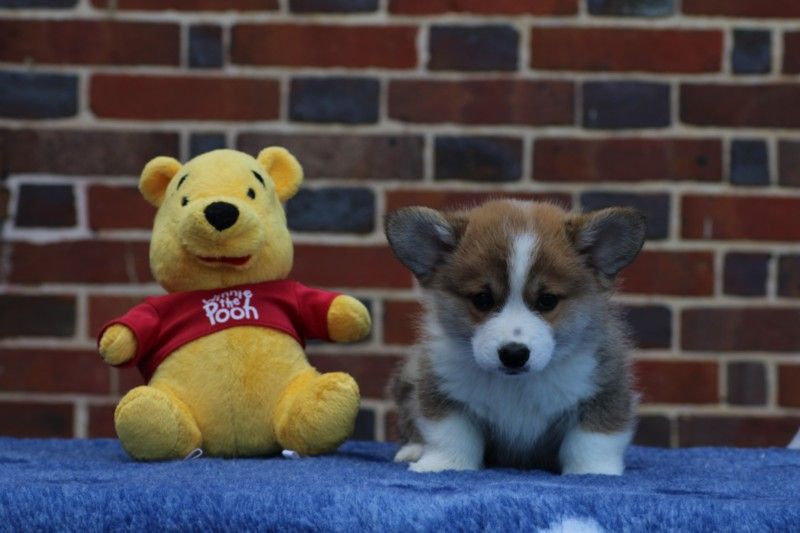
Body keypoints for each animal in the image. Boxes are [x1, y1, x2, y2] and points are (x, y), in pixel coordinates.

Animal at [384, 200, 646, 475]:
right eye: (482, 299)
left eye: (547, 300)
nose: (514, 354)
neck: (516, 385)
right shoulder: (443, 388)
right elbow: (450, 435)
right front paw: (442, 465)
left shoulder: (605, 389)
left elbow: (591, 441)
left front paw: (592, 472)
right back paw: (413, 449)